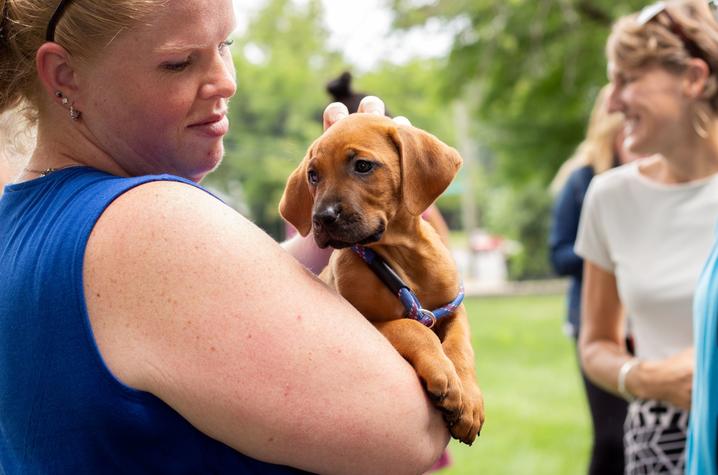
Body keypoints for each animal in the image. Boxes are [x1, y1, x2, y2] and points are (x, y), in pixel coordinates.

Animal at [278, 113, 486, 444]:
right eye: (313, 175)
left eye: (363, 166)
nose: (321, 218)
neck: (401, 259)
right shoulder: (367, 321)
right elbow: (415, 329)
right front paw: (444, 374)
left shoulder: (452, 307)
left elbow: (461, 346)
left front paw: (469, 400)